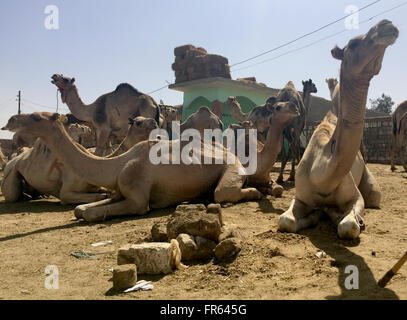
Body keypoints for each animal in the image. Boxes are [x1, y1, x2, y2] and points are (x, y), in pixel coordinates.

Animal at [3, 111, 264, 221]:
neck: (116, 165)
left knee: (223, 192)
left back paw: (256, 192)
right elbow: (81, 209)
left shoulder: (138, 199)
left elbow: (90, 213)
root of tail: (231, 153)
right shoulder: (118, 190)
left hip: (232, 167)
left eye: (36, 117)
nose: (10, 120)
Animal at [278, 19, 400, 240]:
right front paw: (315, 215)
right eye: (352, 44)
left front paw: (341, 217)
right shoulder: (300, 196)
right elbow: (286, 220)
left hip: (371, 185)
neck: (322, 177)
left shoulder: (356, 197)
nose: (386, 25)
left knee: (374, 196)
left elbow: (348, 225)